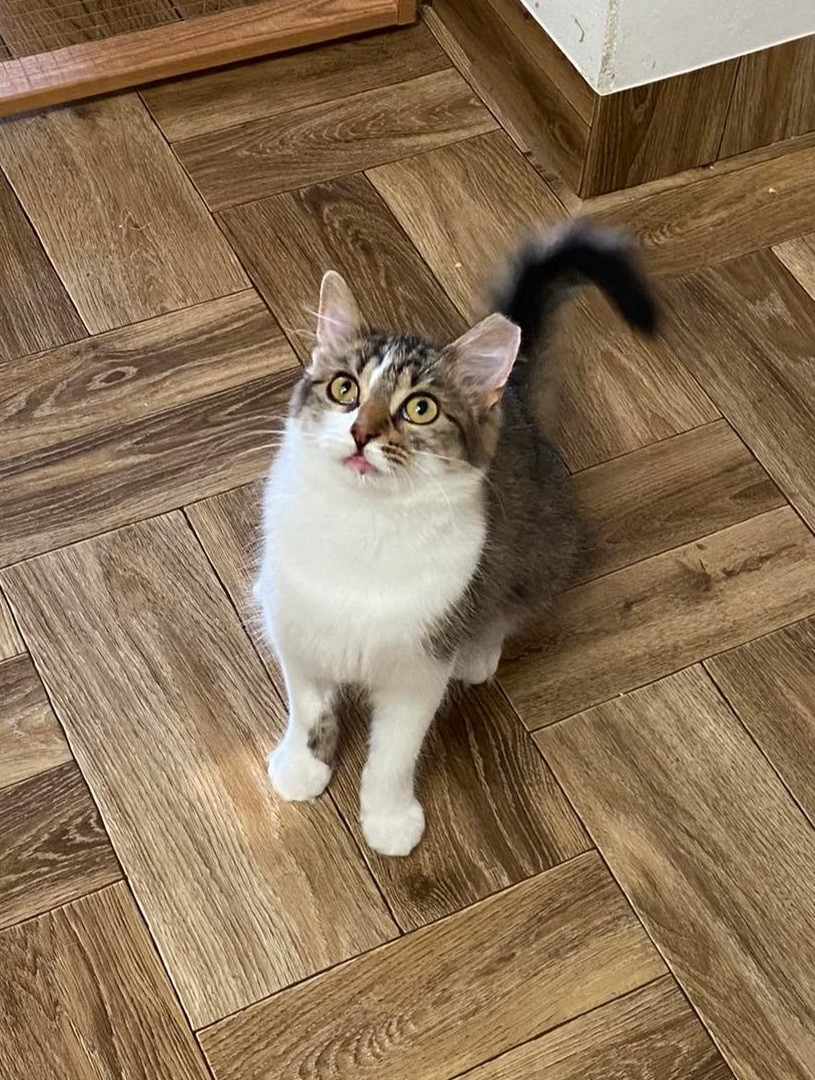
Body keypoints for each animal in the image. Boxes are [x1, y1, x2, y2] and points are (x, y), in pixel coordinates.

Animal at [254, 221, 655, 856]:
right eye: (345, 389)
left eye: (419, 408)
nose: (361, 433)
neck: (364, 527)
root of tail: (516, 405)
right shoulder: (295, 623)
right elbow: (309, 708)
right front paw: (302, 767)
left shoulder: (420, 665)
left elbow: (394, 754)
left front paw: (388, 818)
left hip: (543, 553)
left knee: (509, 609)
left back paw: (479, 651)